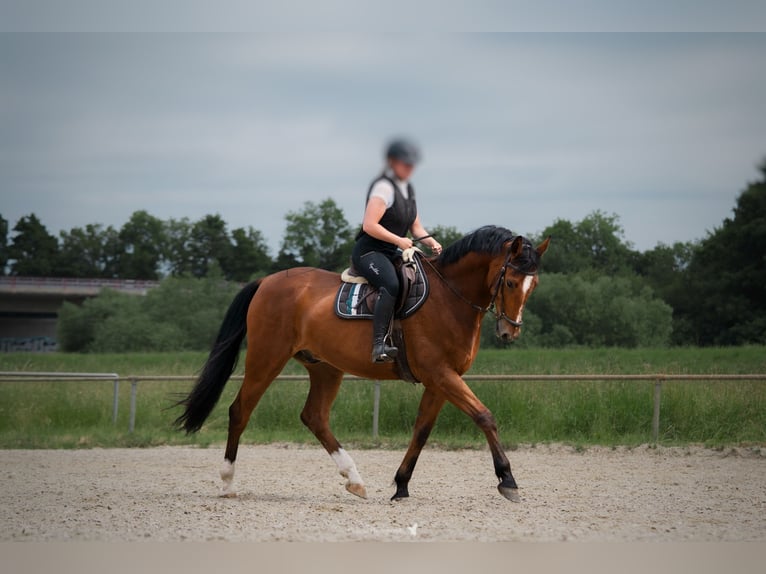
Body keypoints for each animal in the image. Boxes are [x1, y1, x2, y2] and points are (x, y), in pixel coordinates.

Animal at [175, 225, 550, 502]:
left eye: (534, 285)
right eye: (511, 282)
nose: (510, 331)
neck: (449, 297)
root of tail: (267, 281)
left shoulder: (441, 380)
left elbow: (422, 430)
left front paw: (401, 485)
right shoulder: (441, 374)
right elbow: (484, 416)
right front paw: (507, 479)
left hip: (325, 367)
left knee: (314, 416)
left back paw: (353, 478)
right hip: (266, 358)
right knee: (240, 411)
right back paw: (228, 482)